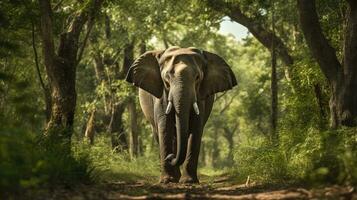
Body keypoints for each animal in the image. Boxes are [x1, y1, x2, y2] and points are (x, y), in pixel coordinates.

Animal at [125, 46, 236, 184]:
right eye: (167, 78)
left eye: (197, 77)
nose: (170, 157)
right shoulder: (161, 95)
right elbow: (165, 126)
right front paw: (168, 180)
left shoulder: (200, 97)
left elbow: (196, 128)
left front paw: (188, 181)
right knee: (159, 133)